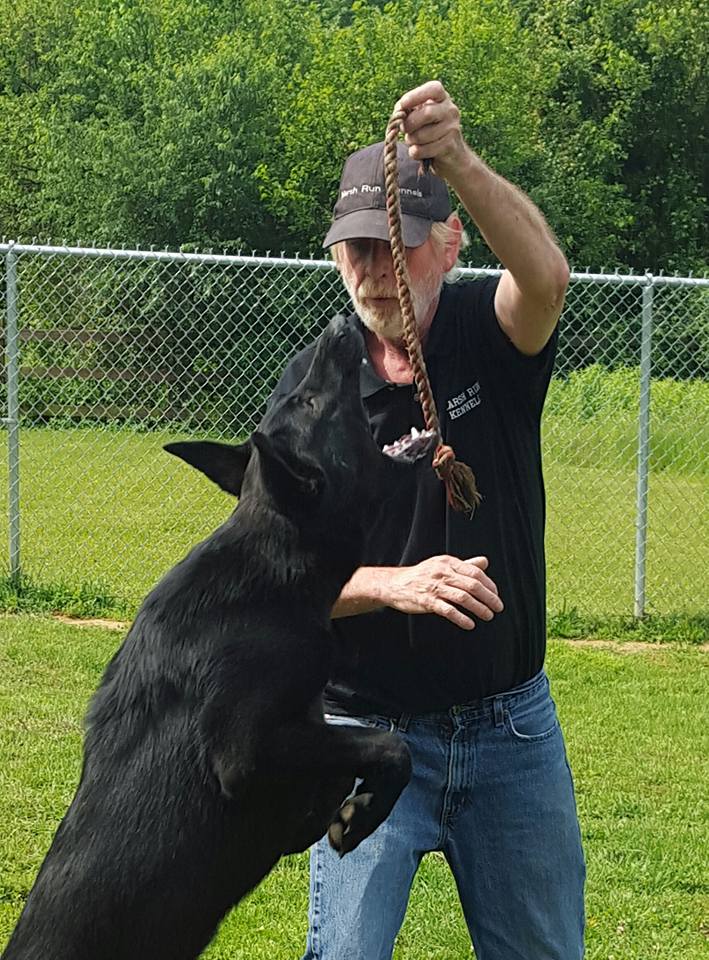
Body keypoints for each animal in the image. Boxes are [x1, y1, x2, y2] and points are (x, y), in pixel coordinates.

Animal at [1, 316, 436, 960]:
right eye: (308, 402)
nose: (339, 326)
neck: (276, 562)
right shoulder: (246, 752)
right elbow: (388, 745)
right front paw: (356, 815)